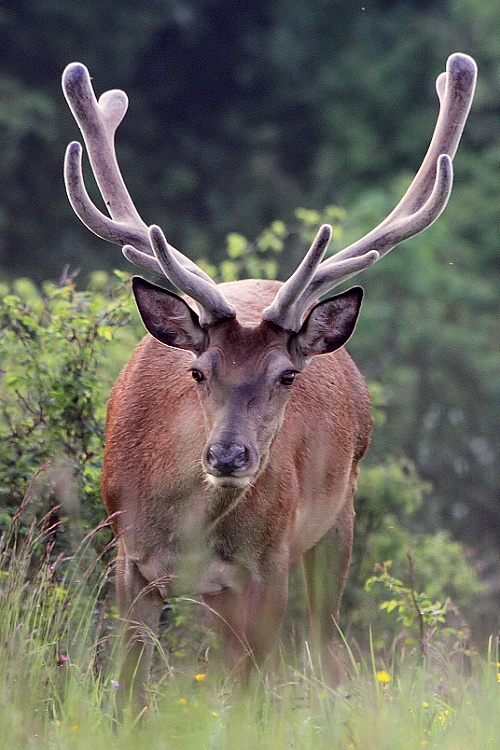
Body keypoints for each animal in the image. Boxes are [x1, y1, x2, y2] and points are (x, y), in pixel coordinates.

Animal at [62, 54, 476, 716]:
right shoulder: (128, 558)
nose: (229, 455)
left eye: (286, 376)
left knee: (324, 651)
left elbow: (249, 697)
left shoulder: (266, 566)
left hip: (337, 520)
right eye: (197, 370)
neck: (187, 528)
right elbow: (129, 691)